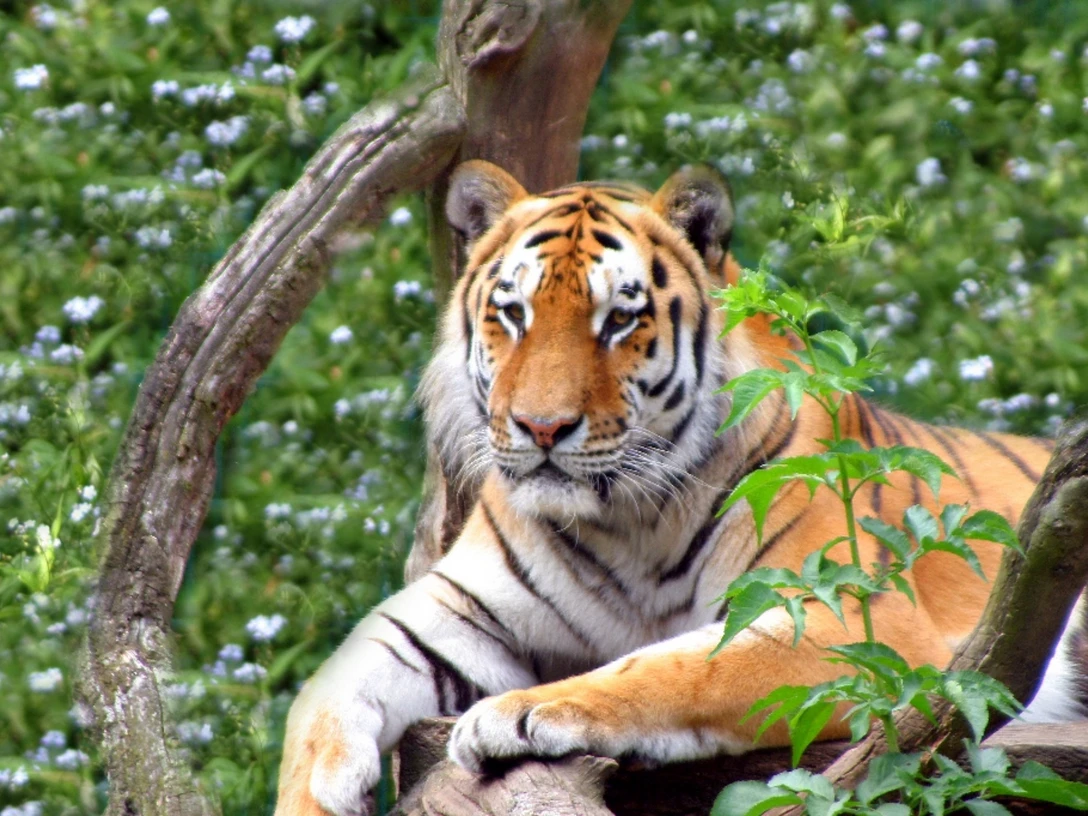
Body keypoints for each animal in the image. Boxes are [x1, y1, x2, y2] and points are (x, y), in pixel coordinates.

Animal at [275, 160, 1082, 816]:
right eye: (513, 312)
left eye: (618, 319)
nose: (541, 427)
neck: (624, 520)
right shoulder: (456, 611)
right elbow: (326, 685)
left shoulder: (848, 620)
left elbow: (678, 666)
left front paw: (519, 713)